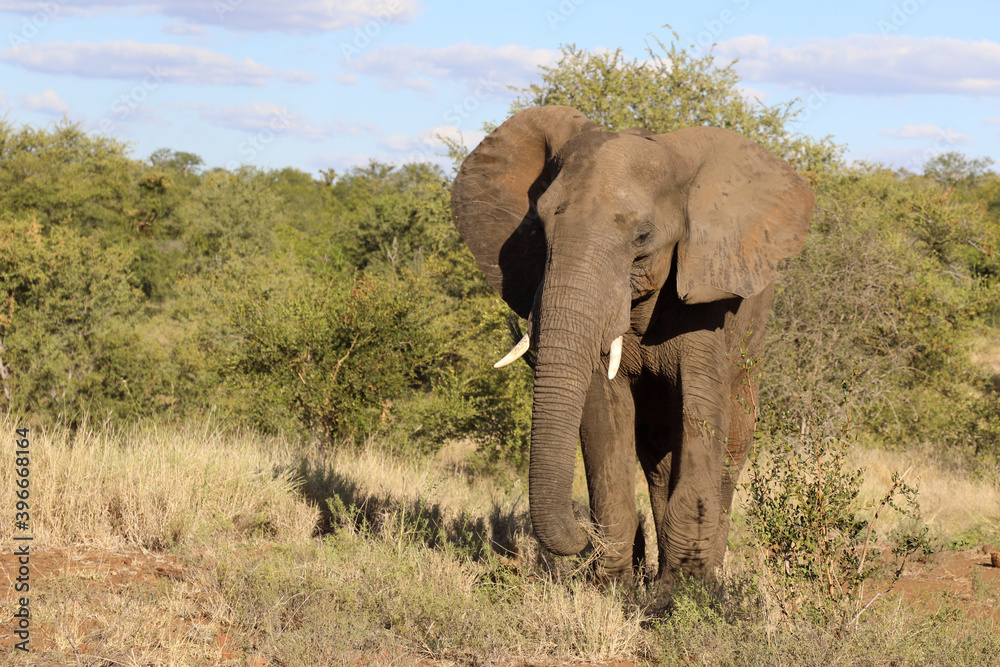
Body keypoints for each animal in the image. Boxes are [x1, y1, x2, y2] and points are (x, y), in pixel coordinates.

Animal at [454, 107, 812, 604]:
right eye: (540, 228)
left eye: (642, 237)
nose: (581, 536)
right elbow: (603, 414)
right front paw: (614, 589)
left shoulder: (708, 301)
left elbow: (701, 413)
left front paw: (681, 598)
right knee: (658, 457)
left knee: (731, 447)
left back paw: (707, 573)